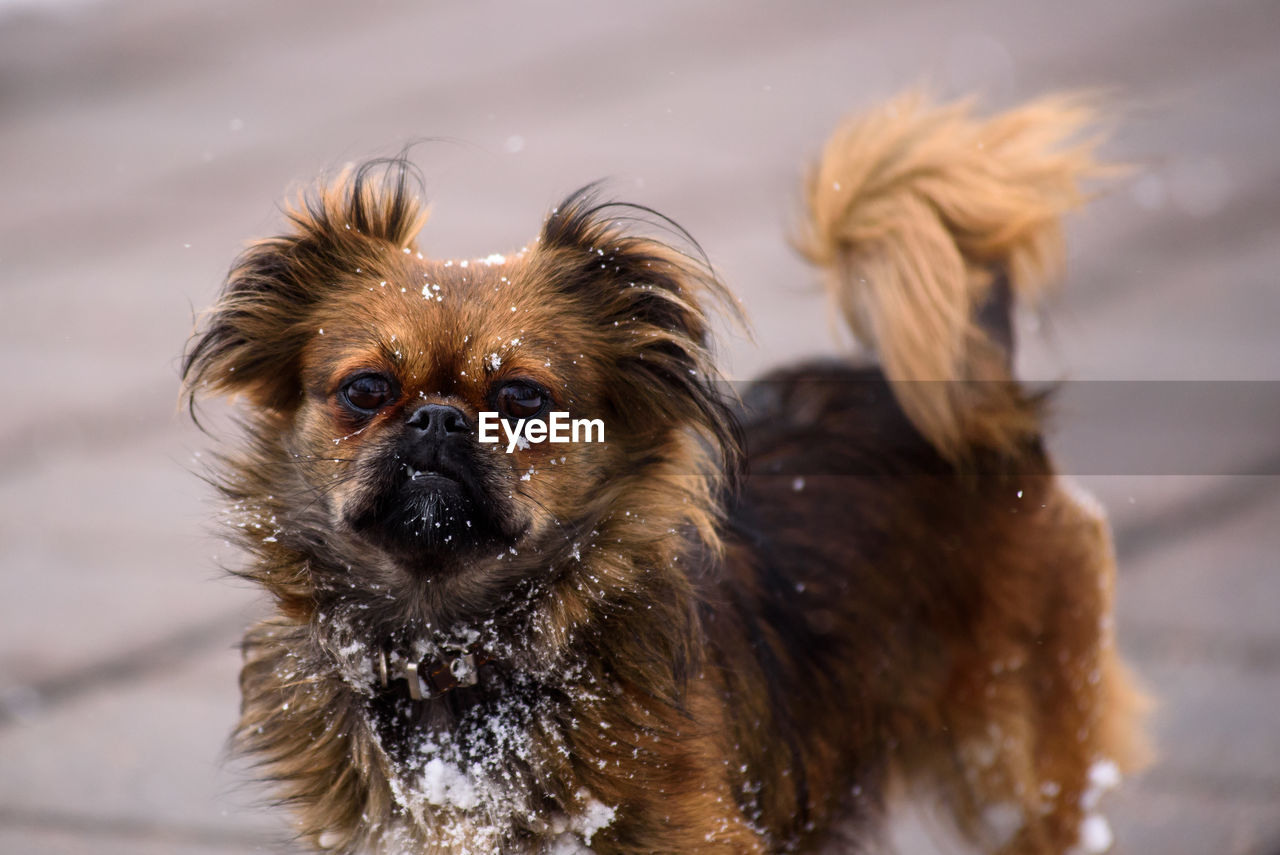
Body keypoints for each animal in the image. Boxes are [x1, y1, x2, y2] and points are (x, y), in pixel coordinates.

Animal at [183, 93, 1152, 855]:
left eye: (525, 398)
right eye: (366, 390)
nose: (438, 417)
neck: (458, 652)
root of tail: (979, 400)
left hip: (1014, 756)